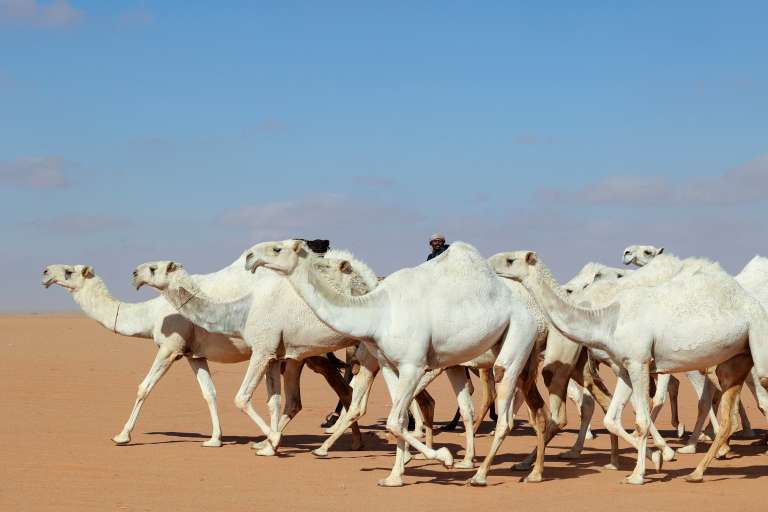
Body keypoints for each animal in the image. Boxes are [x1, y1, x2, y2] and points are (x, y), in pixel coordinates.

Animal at [41, 263, 355, 449]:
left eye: (68, 272)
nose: (45, 272)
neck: (151, 314)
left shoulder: (170, 347)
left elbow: (144, 388)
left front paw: (122, 435)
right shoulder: (193, 355)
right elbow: (209, 393)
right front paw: (215, 439)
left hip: (308, 350)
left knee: (341, 387)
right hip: (296, 356)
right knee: (321, 393)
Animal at [131, 249, 384, 456]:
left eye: (153, 268)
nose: (134, 273)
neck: (242, 310)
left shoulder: (261, 349)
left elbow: (241, 397)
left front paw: (272, 442)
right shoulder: (274, 354)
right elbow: (274, 400)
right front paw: (268, 445)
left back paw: (328, 447)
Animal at [245, 239, 550, 487]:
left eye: (277, 249)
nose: (249, 256)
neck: (377, 312)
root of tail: (534, 315)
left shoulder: (413, 365)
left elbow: (392, 419)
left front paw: (443, 457)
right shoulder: (389, 364)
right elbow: (399, 420)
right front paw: (395, 476)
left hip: (516, 341)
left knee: (506, 410)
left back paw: (482, 475)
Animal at [496, 250, 768, 483]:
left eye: (510, 260)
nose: (491, 264)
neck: (607, 319)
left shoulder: (639, 362)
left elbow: (641, 420)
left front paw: (639, 474)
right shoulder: (624, 367)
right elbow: (611, 418)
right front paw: (656, 458)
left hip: (756, 343)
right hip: (735, 359)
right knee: (729, 414)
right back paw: (697, 471)